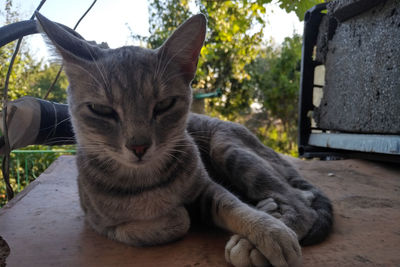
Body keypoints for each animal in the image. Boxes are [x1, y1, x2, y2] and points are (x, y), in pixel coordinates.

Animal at [36, 12, 332, 267]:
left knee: (301, 203)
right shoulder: (99, 222)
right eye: (101, 110)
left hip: (227, 148)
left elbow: (233, 205)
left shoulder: (205, 186)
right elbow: (169, 223)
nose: (138, 146)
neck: (144, 181)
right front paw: (175, 216)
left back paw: (259, 236)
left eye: (164, 104)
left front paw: (267, 230)